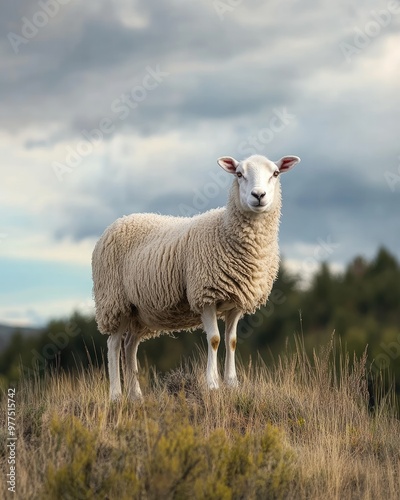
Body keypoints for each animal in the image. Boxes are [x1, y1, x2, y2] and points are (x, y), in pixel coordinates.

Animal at [93, 152, 300, 398]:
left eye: (275, 173)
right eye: (239, 174)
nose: (258, 195)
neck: (226, 230)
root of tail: (121, 220)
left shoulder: (236, 302)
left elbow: (231, 341)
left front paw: (232, 383)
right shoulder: (206, 294)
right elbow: (215, 339)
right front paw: (212, 383)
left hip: (139, 312)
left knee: (129, 346)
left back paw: (136, 396)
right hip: (114, 301)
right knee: (114, 345)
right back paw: (116, 395)